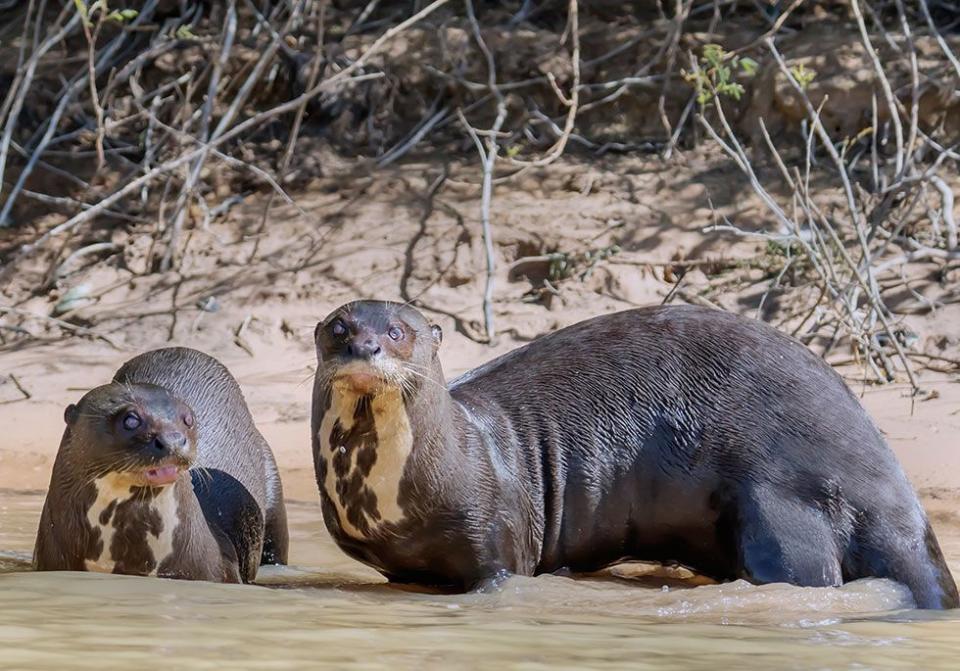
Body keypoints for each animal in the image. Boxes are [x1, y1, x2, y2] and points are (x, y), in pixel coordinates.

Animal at [314, 302, 960, 612]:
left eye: (398, 331)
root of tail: (895, 494)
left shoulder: (496, 541)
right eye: (339, 327)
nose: (365, 345)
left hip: (784, 496)